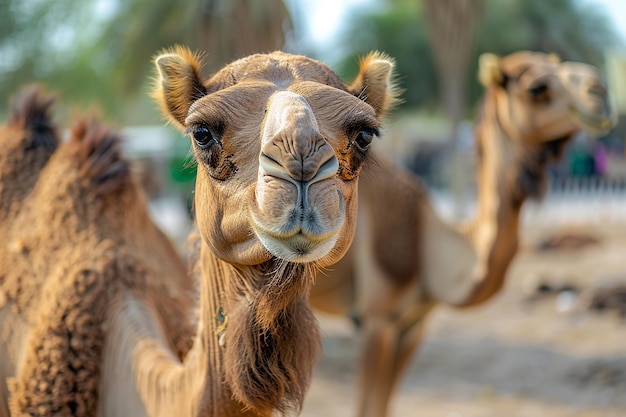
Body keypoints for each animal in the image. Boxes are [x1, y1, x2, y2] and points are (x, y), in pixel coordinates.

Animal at [308, 51, 616, 416]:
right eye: (537, 88)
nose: (600, 93)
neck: (426, 241)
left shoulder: (412, 325)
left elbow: (384, 405)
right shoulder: (375, 320)